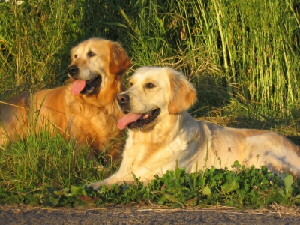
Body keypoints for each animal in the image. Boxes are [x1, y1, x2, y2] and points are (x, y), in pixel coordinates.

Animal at [89, 67, 300, 188]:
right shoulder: (121, 172)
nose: (120, 98)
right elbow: (105, 181)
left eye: (150, 85)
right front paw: (91, 185)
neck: (153, 141)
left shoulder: (162, 176)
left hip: (258, 149)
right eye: (131, 83)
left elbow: (129, 182)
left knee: (277, 177)